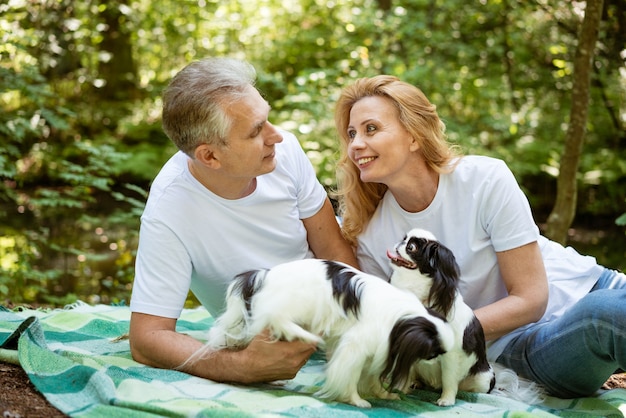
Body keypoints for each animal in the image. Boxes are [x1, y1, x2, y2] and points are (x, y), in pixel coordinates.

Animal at [199, 258, 454, 408]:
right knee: (278, 318)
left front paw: (383, 394)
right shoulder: (355, 347)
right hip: (297, 303)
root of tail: (263, 275)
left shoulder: (377, 351)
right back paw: (306, 336)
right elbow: (350, 377)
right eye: (432, 353)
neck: (401, 318)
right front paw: (357, 401)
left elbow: (372, 377)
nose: (439, 360)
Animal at [386, 227, 492, 406]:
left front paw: (446, 400)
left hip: (483, 379)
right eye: (404, 238)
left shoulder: (451, 354)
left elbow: (449, 378)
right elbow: (405, 370)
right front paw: (398, 392)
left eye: (412, 248)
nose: (400, 243)